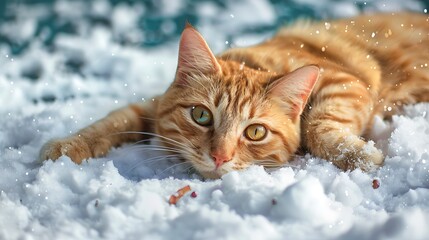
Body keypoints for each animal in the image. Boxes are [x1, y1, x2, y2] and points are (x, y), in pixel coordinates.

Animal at [38, 12, 426, 178]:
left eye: (255, 132)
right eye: (201, 115)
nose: (219, 157)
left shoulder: (345, 81)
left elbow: (317, 126)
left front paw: (358, 155)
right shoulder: (150, 107)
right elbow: (114, 119)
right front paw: (69, 145)